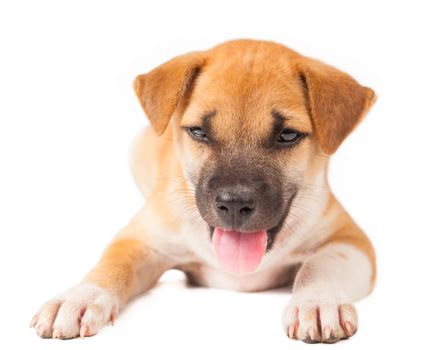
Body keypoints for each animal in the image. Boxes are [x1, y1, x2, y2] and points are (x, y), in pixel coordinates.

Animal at [31, 39, 376, 344]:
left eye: (288, 135)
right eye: (198, 131)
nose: (235, 204)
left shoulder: (351, 241)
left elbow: (320, 265)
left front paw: (317, 302)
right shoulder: (140, 241)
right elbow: (111, 265)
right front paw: (79, 297)